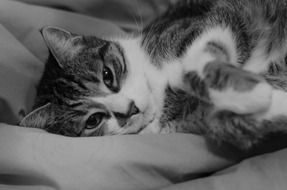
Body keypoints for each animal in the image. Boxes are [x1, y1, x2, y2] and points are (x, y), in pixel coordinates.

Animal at [21, 0, 287, 150]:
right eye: (93, 121)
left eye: (107, 76)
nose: (129, 109)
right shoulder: (197, 119)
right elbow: (226, 122)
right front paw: (265, 97)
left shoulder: (209, 21)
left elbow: (198, 59)